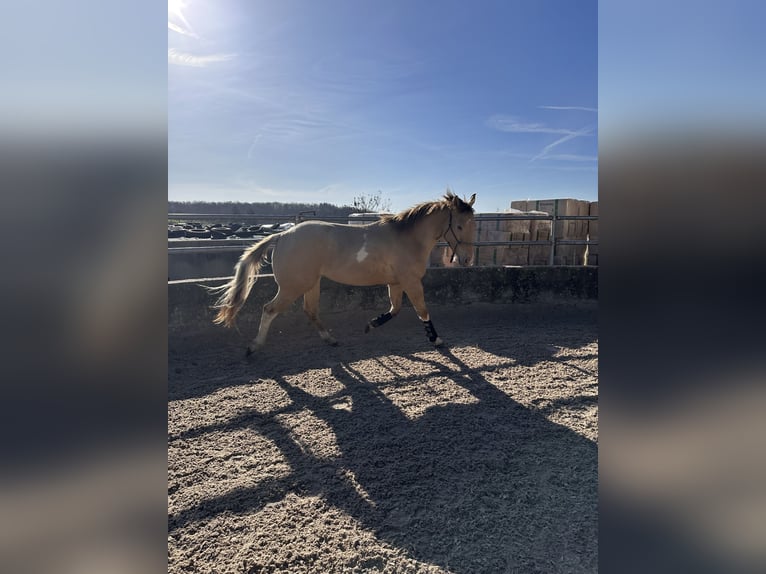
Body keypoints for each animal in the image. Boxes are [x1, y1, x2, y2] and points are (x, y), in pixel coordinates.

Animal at [210, 191, 476, 356]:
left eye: (473, 225)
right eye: (459, 225)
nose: (466, 260)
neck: (407, 238)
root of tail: (282, 236)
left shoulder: (395, 282)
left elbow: (395, 309)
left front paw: (371, 325)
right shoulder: (411, 282)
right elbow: (422, 310)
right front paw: (436, 339)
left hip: (311, 284)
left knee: (310, 310)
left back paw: (331, 339)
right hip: (293, 286)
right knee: (269, 310)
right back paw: (254, 347)